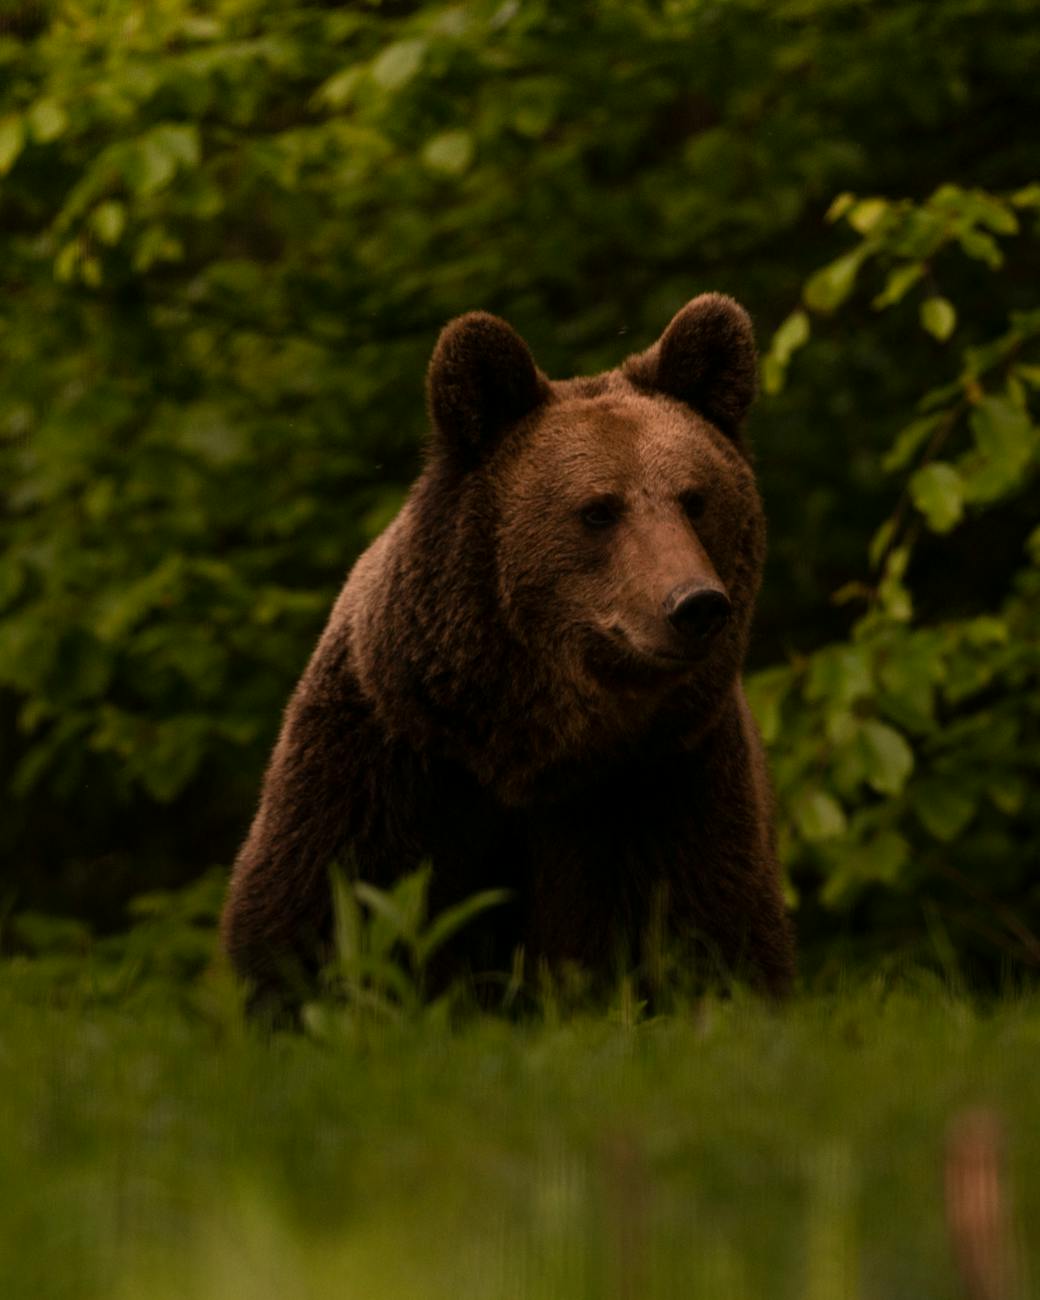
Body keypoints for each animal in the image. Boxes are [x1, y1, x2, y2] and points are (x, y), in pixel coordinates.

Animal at [221, 293, 796, 1015]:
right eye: (599, 510)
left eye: (695, 499)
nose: (695, 605)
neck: (531, 746)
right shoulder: (389, 764)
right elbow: (318, 920)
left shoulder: (667, 782)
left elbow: (710, 936)